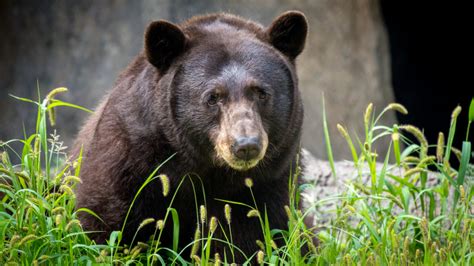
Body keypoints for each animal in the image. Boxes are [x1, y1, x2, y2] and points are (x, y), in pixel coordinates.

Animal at [75, 10, 308, 262]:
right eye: (213, 97)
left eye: (261, 93)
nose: (246, 145)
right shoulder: (130, 159)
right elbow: (107, 219)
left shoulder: (271, 182)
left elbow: (256, 236)